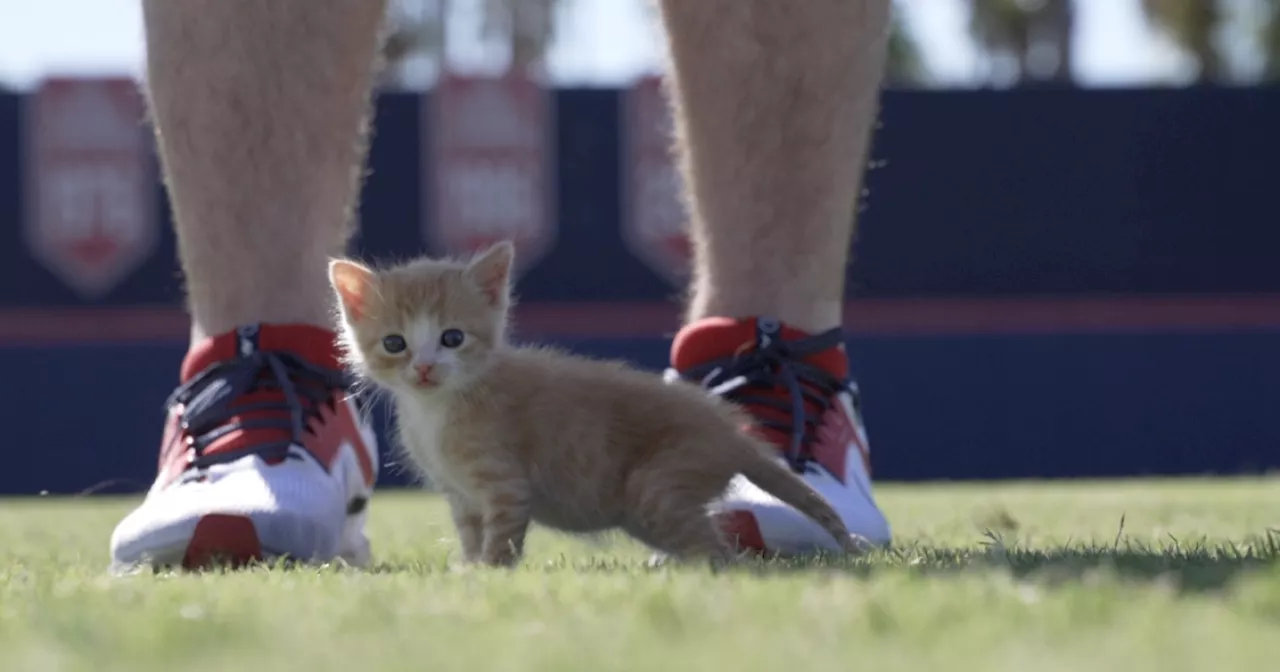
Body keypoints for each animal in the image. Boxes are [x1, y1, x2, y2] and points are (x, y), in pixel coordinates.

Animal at [327, 240, 860, 565]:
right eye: (395, 344)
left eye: (452, 338)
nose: (424, 368)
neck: (439, 408)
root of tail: (732, 433)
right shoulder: (461, 496)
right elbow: (472, 534)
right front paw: (468, 569)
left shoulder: (503, 483)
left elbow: (502, 537)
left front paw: (489, 575)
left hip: (657, 488)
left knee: (719, 553)